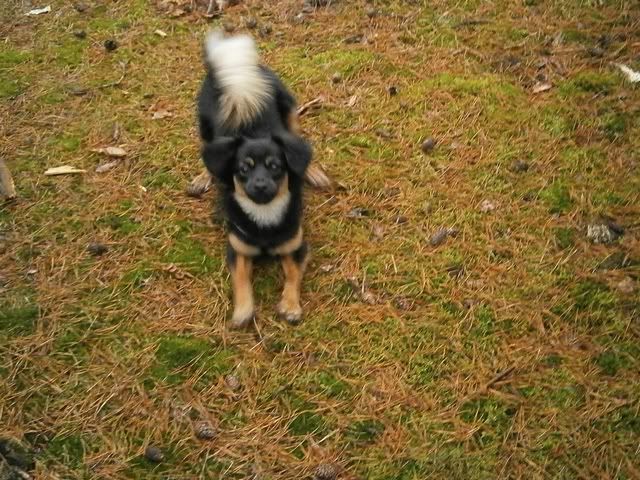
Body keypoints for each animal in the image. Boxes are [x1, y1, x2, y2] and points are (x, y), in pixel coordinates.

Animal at [190, 31, 325, 329]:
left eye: (275, 167)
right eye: (243, 169)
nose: (260, 184)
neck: (265, 214)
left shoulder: (296, 247)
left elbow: (293, 276)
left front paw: (290, 306)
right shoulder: (237, 251)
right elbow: (241, 282)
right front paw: (243, 311)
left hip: (289, 109)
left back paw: (312, 171)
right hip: (205, 129)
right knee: (208, 154)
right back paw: (204, 176)